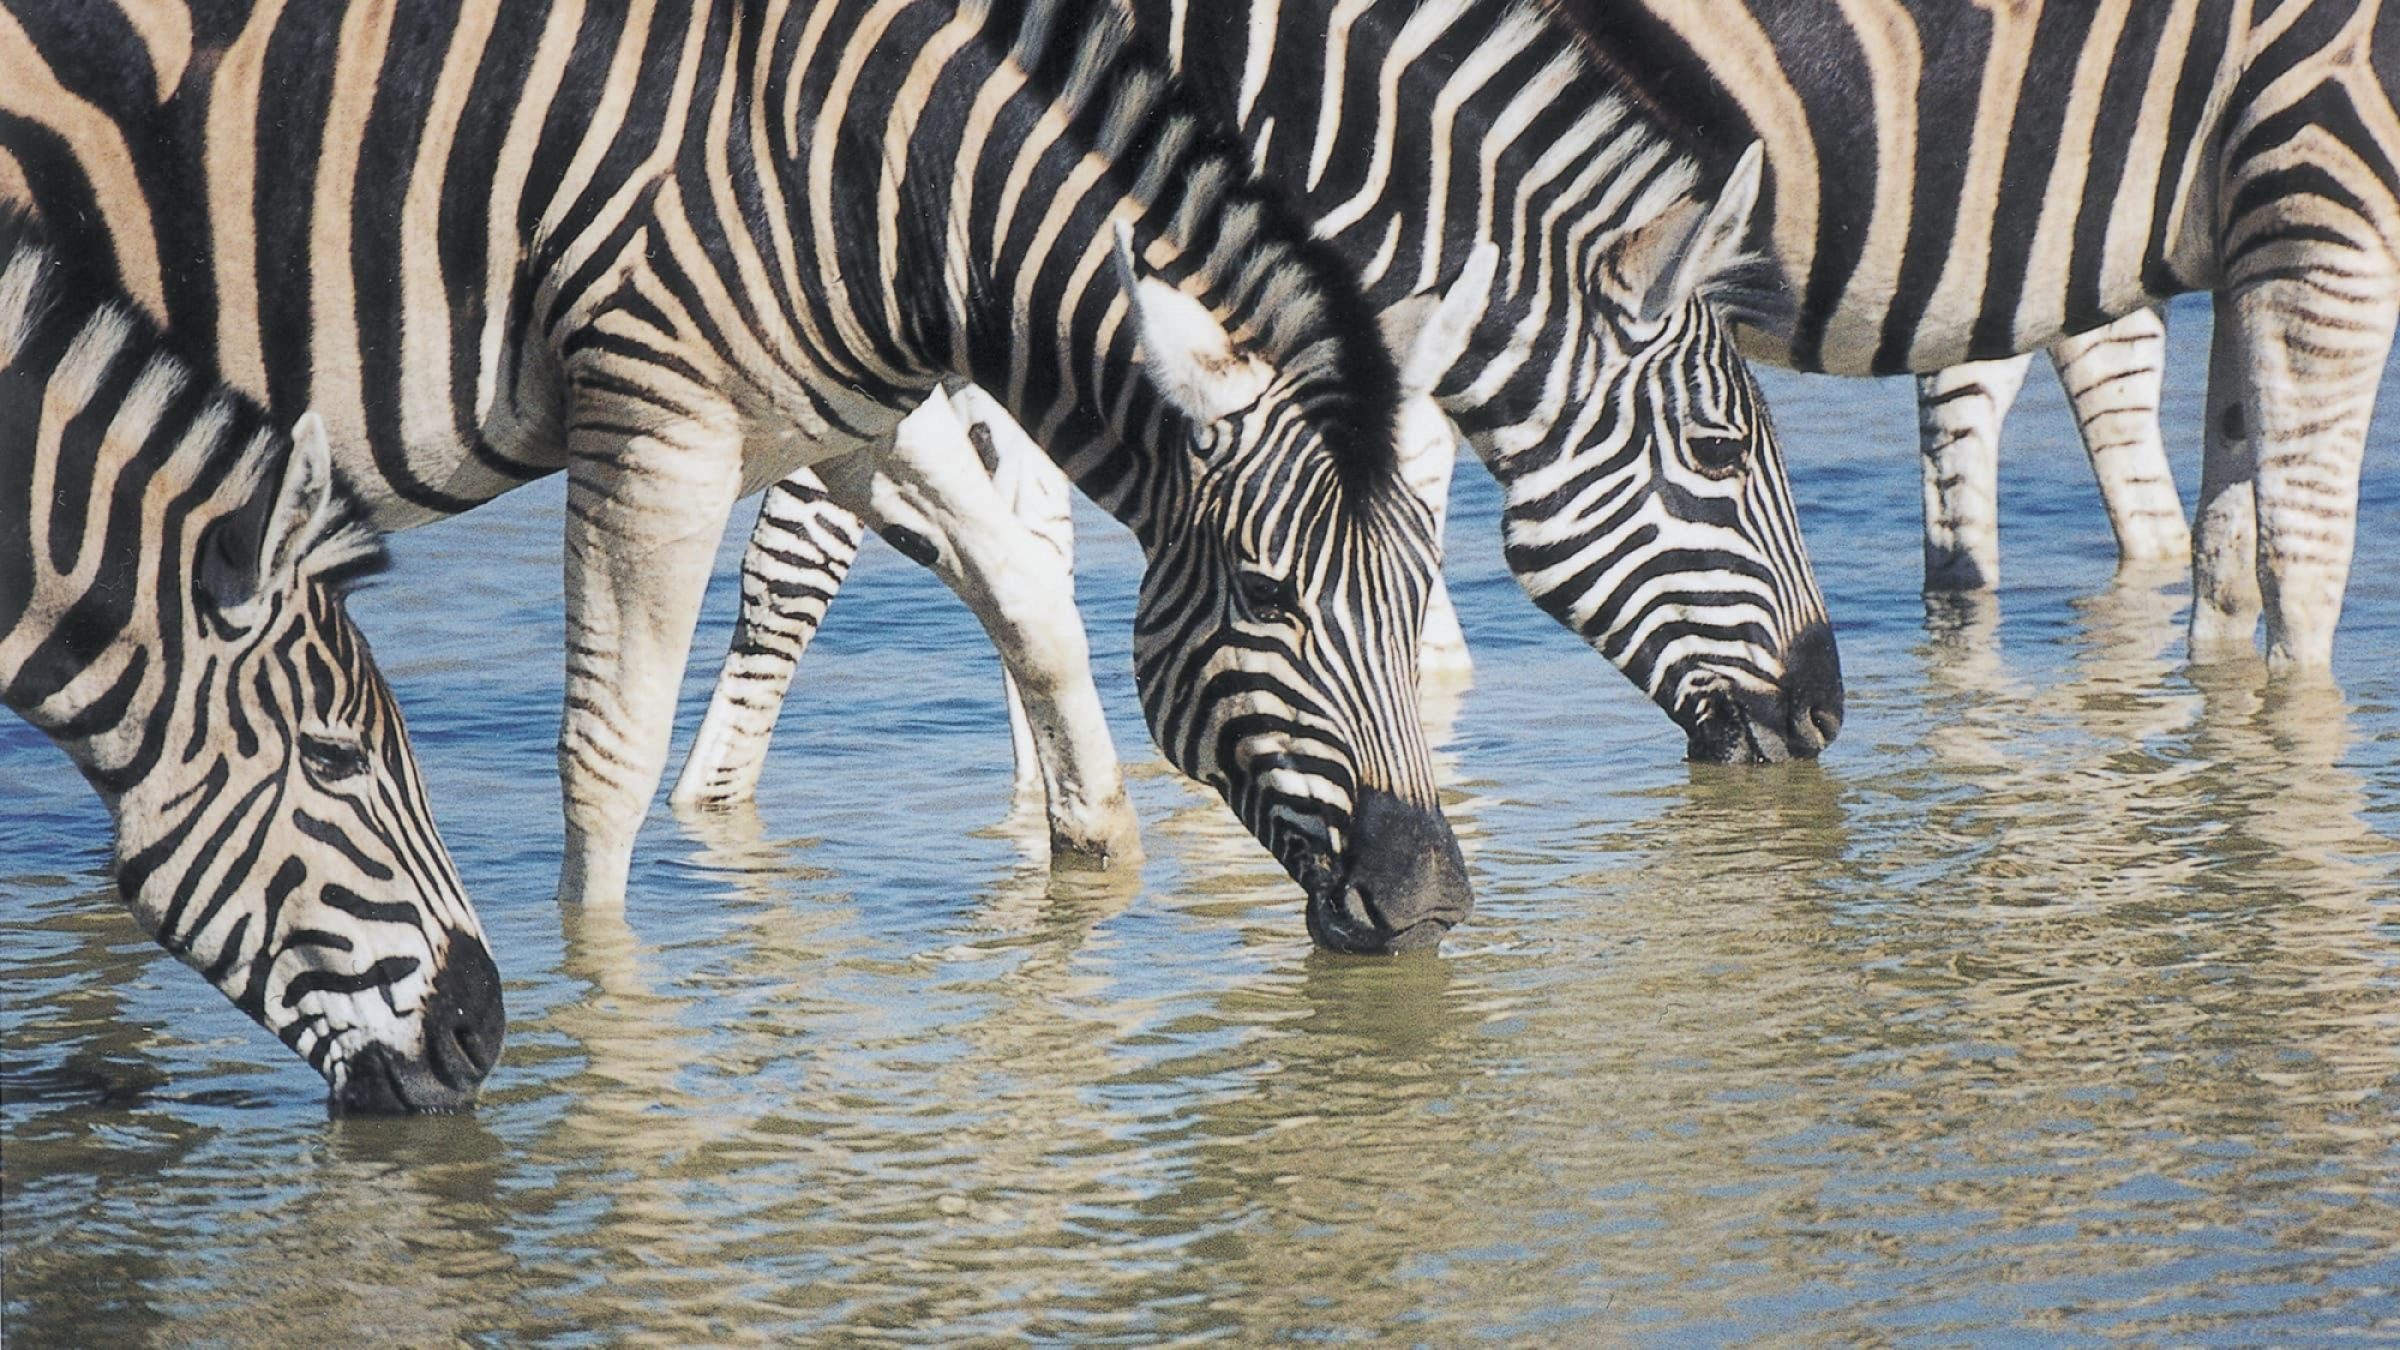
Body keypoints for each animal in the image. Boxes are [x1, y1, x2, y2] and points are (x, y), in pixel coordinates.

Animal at [0, 0, 1478, 951]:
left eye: (1422, 593)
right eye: (1267, 598)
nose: (1432, 903)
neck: (871, 175)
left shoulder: (843, 416)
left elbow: (1032, 606)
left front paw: (1087, 866)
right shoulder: (654, 421)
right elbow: (609, 758)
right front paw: (603, 994)